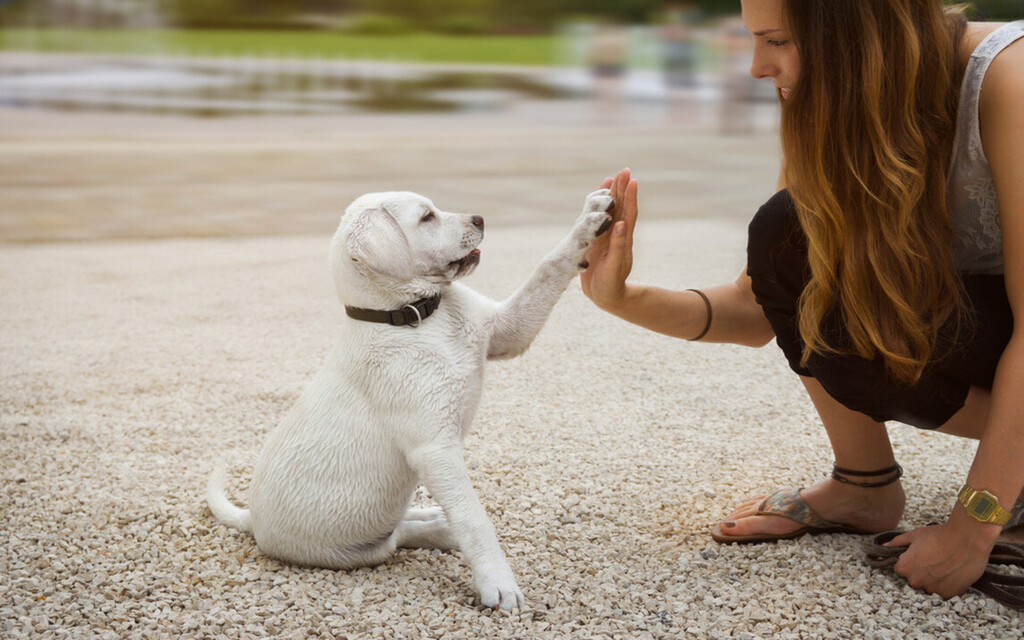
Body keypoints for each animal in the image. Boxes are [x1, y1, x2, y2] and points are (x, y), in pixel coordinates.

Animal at [203, 188, 610, 610]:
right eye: (427, 218)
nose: (480, 219)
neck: (415, 316)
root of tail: (251, 520)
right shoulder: (435, 448)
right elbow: (473, 517)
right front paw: (497, 582)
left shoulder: (506, 330)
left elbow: (548, 268)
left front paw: (589, 221)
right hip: (359, 550)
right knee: (398, 536)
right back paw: (441, 530)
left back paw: (437, 521)